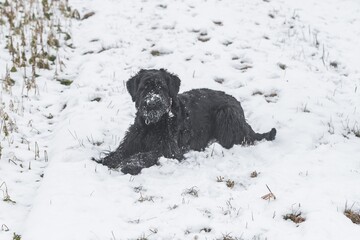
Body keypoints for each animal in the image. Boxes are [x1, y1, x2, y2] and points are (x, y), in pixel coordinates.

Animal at [100, 69, 276, 174]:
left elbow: (145, 155)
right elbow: (120, 152)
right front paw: (106, 160)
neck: (153, 124)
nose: (152, 103)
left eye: (161, 87)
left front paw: (129, 165)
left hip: (226, 113)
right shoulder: (132, 141)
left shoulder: (168, 150)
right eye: (144, 87)